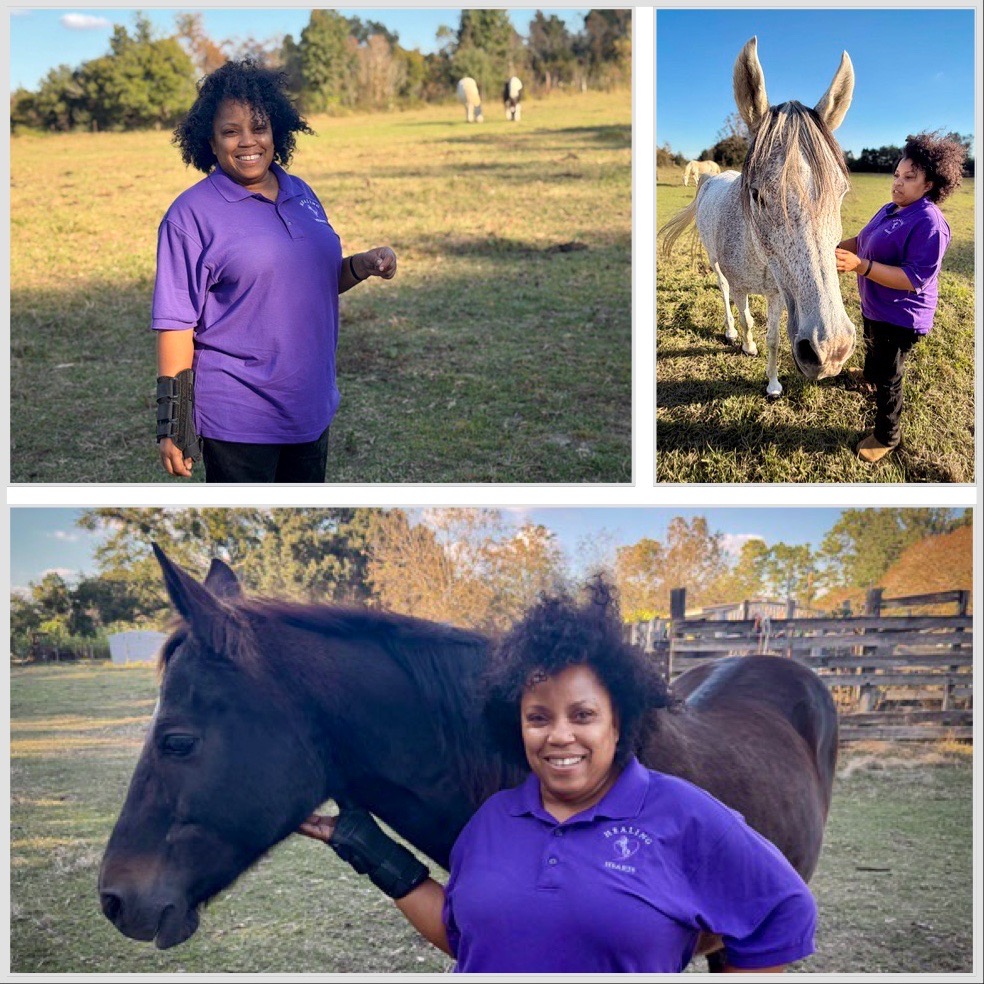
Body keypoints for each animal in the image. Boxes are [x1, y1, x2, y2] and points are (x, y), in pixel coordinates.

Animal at [659, 37, 857, 397]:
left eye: (841, 193)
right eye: (757, 194)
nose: (831, 349)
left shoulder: (778, 295)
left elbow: (775, 339)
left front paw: (774, 385)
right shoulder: (740, 287)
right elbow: (748, 319)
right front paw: (748, 344)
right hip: (714, 261)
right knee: (722, 291)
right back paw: (731, 332)